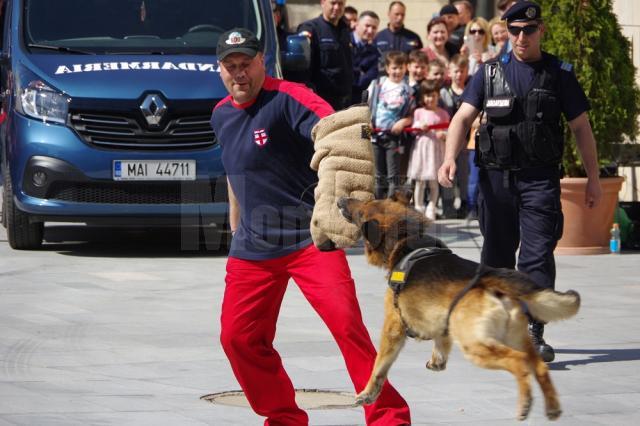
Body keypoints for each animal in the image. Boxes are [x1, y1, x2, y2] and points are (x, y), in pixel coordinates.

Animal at [338, 191, 584, 422]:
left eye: (362, 211)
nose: (340, 200)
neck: (407, 240)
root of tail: (490, 277)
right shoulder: (441, 321)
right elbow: (440, 342)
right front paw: (437, 360)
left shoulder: (393, 326)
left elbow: (379, 366)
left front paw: (368, 393)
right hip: (513, 338)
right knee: (539, 366)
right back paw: (552, 407)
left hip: (476, 345)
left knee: (519, 361)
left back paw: (525, 402)